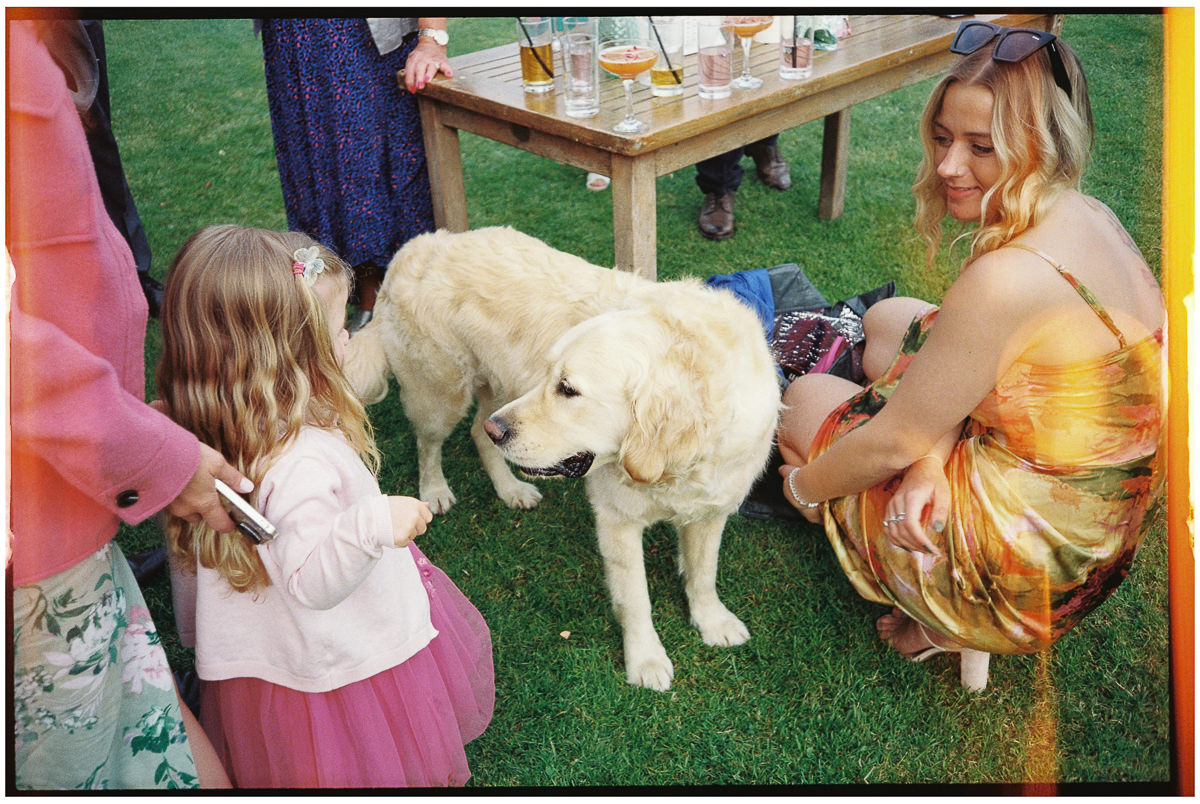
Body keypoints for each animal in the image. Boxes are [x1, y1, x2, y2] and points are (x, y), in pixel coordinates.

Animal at [343, 226, 782, 691]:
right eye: (551, 376)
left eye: (567, 389)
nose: (502, 429)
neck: (676, 463)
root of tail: (420, 243)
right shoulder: (618, 520)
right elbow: (636, 598)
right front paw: (646, 659)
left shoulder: (710, 511)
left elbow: (703, 572)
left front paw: (712, 621)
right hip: (443, 394)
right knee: (431, 443)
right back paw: (435, 490)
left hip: (497, 393)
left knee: (478, 433)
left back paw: (510, 488)